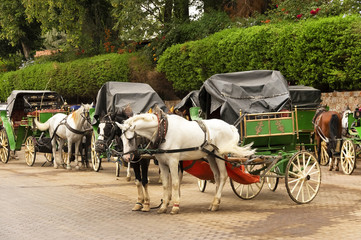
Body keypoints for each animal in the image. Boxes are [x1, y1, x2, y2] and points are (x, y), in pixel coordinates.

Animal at [116, 110, 255, 214]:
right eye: (121, 138)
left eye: (130, 138)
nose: (127, 158)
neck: (164, 131)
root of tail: (229, 126)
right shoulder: (162, 163)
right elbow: (165, 184)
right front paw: (163, 206)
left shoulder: (173, 161)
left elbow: (175, 183)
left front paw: (175, 206)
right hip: (211, 156)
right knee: (217, 176)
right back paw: (214, 202)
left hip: (219, 154)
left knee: (223, 176)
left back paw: (216, 203)